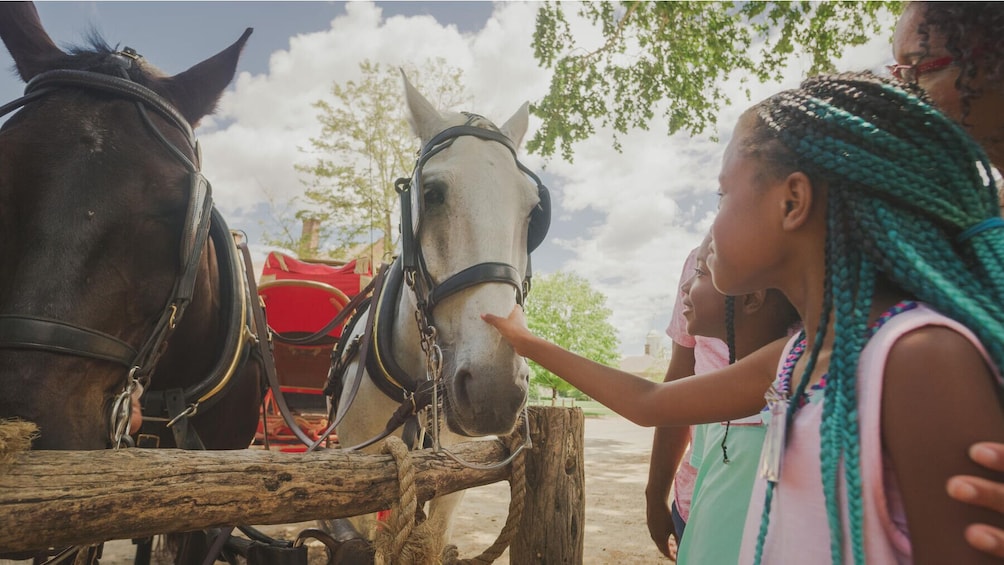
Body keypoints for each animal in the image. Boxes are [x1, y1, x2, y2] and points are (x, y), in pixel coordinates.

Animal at [323, 72, 550, 561]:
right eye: (431, 194)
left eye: (534, 212)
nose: (494, 387)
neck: (417, 390)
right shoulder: (358, 471)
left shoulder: (455, 476)